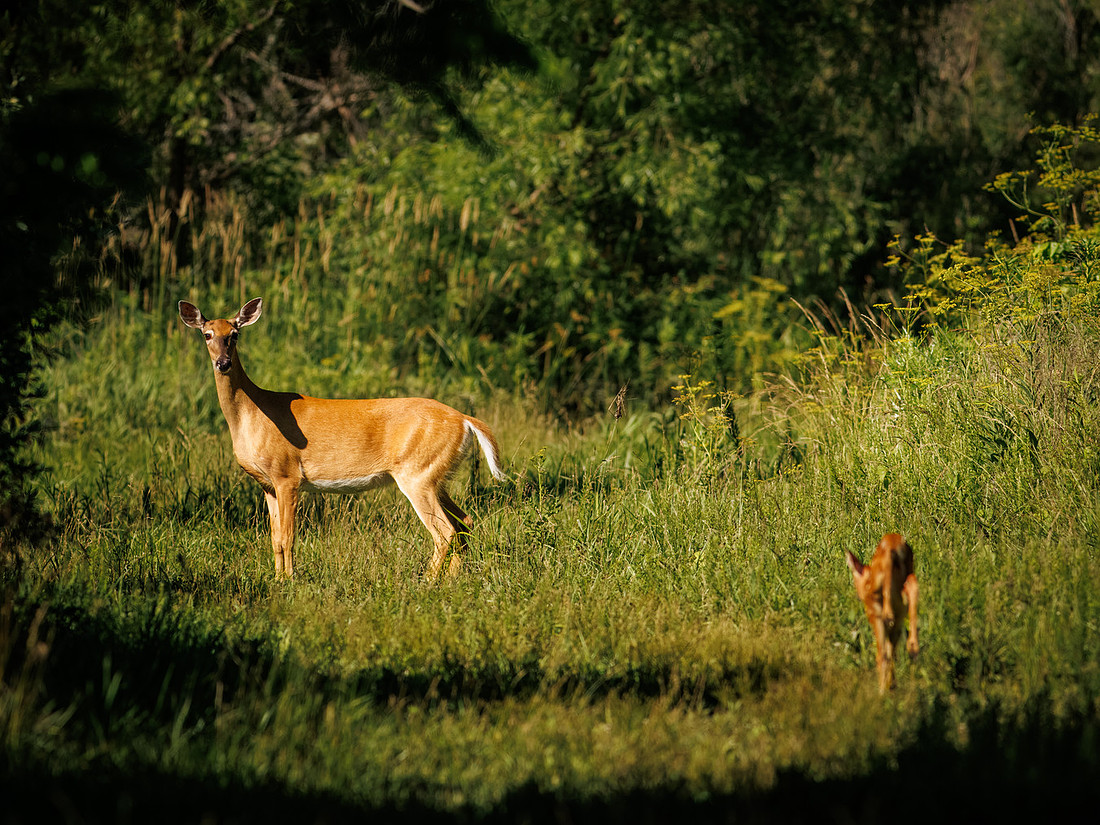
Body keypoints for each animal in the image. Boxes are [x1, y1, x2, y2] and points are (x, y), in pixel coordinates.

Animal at [179, 297, 505, 580]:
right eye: (207, 334)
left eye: (234, 335)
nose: (223, 363)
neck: (253, 413)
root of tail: (465, 419)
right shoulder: (267, 485)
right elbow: (275, 540)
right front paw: (277, 579)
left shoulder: (287, 474)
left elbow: (288, 537)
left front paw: (289, 581)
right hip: (436, 476)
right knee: (465, 523)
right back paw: (451, 580)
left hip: (418, 473)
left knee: (446, 532)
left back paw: (427, 582)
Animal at [846, 533, 919, 692]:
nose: (858, 595)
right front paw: (891, 685)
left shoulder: (874, 614)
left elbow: (883, 653)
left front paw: (884, 688)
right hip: (905, 586)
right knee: (912, 585)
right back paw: (913, 648)